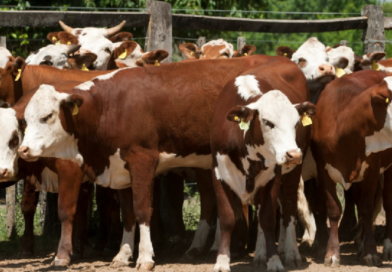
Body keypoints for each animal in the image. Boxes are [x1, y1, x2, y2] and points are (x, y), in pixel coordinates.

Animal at [16, 55, 290, 270]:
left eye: (47, 116)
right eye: (26, 120)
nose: (23, 149)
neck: (110, 106)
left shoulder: (142, 160)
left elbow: (141, 209)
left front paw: (145, 257)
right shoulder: (120, 167)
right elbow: (127, 212)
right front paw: (123, 254)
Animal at [211, 57, 316, 270]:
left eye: (296, 123)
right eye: (267, 122)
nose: (293, 154)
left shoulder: (273, 177)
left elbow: (268, 219)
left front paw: (274, 260)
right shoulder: (218, 174)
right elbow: (227, 218)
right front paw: (222, 261)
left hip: (292, 173)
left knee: (288, 208)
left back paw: (290, 252)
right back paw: (260, 255)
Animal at [310, 70, 392, 268]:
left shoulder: (372, 170)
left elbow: (367, 208)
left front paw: (371, 253)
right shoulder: (323, 170)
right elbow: (334, 210)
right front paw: (332, 254)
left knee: (388, 203)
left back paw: (386, 246)